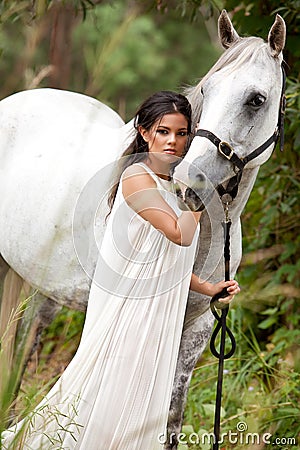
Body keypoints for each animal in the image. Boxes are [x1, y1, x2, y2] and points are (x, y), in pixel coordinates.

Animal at [0, 9, 286, 446]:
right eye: (209, 89)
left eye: (256, 99)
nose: (189, 183)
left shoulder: (197, 329)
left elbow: (170, 419)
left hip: (41, 288)